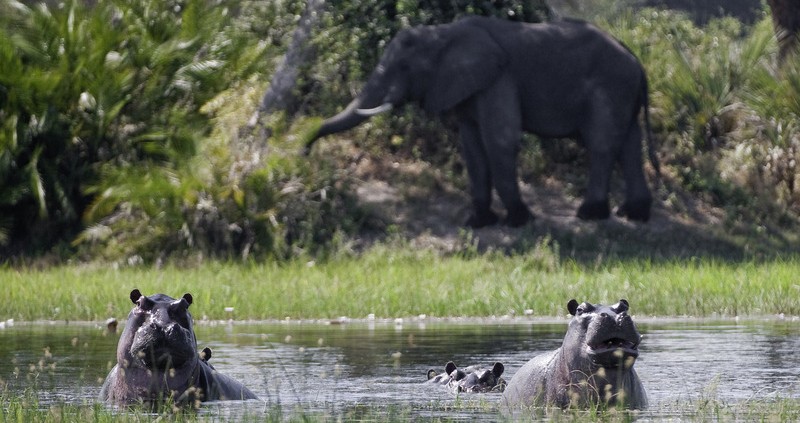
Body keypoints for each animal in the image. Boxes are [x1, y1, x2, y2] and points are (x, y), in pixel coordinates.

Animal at [304, 14, 660, 229]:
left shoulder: (497, 78)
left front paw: (518, 220)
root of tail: (638, 62)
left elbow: (500, 140)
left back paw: (590, 215)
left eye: (404, 68)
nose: (305, 151)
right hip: (621, 91)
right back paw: (634, 215)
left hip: (610, 87)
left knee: (602, 144)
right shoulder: (468, 87)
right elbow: (472, 148)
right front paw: (477, 222)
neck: (444, 33)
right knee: (629, 143)